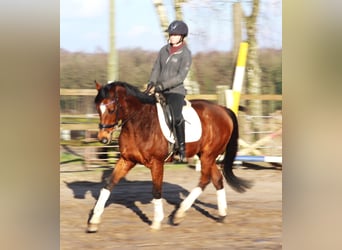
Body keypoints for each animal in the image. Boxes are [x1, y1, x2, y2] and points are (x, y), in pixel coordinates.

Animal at [86, 80, 251, 232]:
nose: (103, 138)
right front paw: (93, 221)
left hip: (208, 155)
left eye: (112, 109)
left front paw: (156, 221)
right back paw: (222, 215)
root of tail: (223, 109)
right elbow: (109, 185)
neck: (139, 122)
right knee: (217, 179)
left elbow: (157, 190)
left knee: (204, 180)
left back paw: (179, 214)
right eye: (98, 108)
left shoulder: (157, 162)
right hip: (207, 156)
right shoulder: (127, 160)